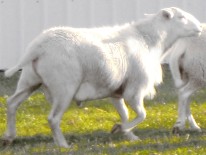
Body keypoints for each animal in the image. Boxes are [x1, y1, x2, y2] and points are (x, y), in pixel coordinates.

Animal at [4, 7, 202, 148]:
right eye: (181, 17)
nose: (200, 28)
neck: (148, 40)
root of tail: (38, 46)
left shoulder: (116, 91)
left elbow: (125, 114)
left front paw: (129, 134)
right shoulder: (135, 88)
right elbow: (142, 114)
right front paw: (120, 129)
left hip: (29, 80)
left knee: (12, 103)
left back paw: (9, 137)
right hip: (64, 87)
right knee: (53, 118)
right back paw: (63, 145)